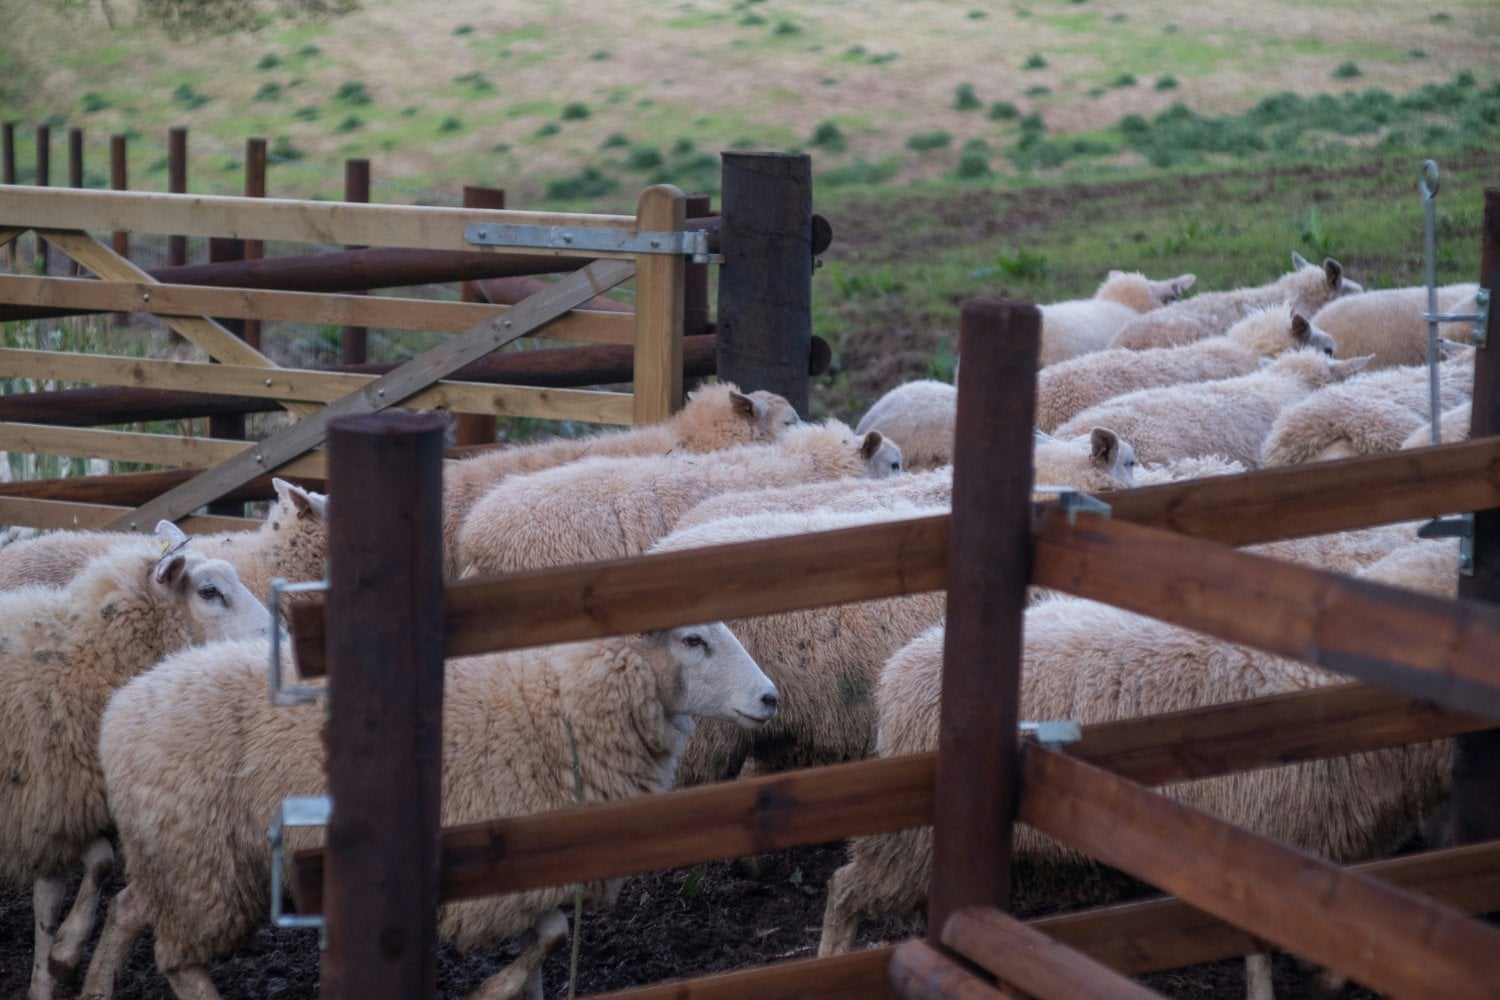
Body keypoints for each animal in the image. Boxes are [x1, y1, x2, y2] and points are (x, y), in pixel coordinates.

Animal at [0, 524, 269, 1000]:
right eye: (209, 591)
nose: (278, 634)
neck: (82, 659)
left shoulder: (50, 806)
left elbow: (58, 897)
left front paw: (53, 969)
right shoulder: (43, 805)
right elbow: (98, 866)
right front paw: (66, 955)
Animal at [82, 622, 779, 1000]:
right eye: (693, 639)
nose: (771, 698)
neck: (562, 704)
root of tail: (120, 706)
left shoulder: (535, 869)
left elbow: (550, 940)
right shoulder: (494, 872)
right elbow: (552, 936)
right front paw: (489, 989)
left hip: (175, 849)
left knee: (130, 908)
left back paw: (88, 983)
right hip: (199, 856)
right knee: (177, 957)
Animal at [819, 536, 1457, 985]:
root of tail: (898, 668)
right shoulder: (1260, 835)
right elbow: (1256, 955)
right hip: (909, 838)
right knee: (844, 888)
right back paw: (829, 959)